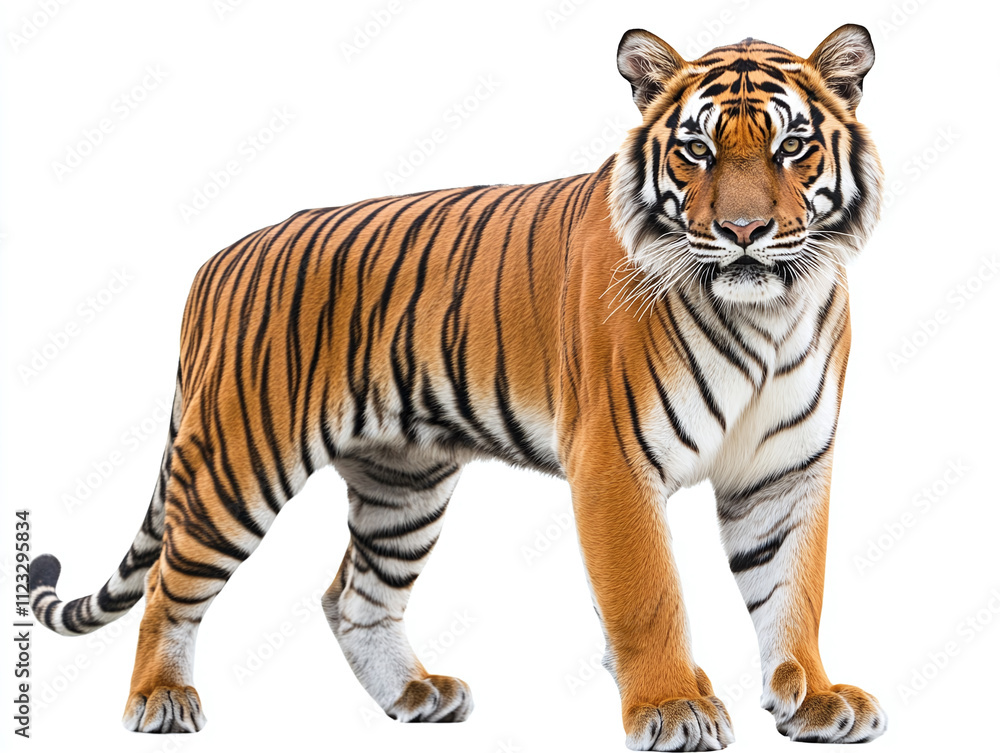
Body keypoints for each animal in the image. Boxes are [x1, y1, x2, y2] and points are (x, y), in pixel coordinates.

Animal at [30, 23, 885, 750]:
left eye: (793, 147)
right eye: (697, 150)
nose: (744, 232)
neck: (767, 312)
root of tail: (219, 259)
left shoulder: (786, 467)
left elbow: (792, 589)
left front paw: (813, 698)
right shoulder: (615, 461)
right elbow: (648, 595)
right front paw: (673, 705)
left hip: (402, 482)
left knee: (354, 595)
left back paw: (415, 695)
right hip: (238, 464)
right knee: (169, 583)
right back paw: (159, 699)